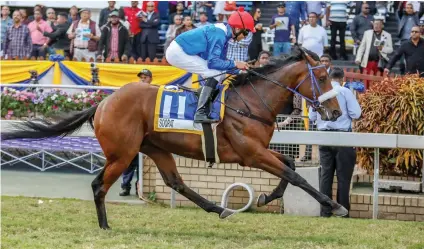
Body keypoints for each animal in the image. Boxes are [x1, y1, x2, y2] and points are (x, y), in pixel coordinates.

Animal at [1, 45, 346, 229]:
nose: (334, 112)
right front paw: (335, 206)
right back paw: (105, 225)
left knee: (175, 182)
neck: (250, 102)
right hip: (122, 153)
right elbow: (294, 175)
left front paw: (266, 196)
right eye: (323, 76)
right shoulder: (251, 154)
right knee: (100, 185)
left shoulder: (258, 151)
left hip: (155, 148)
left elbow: (289, 164)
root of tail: (103, 103)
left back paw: (220, 209)